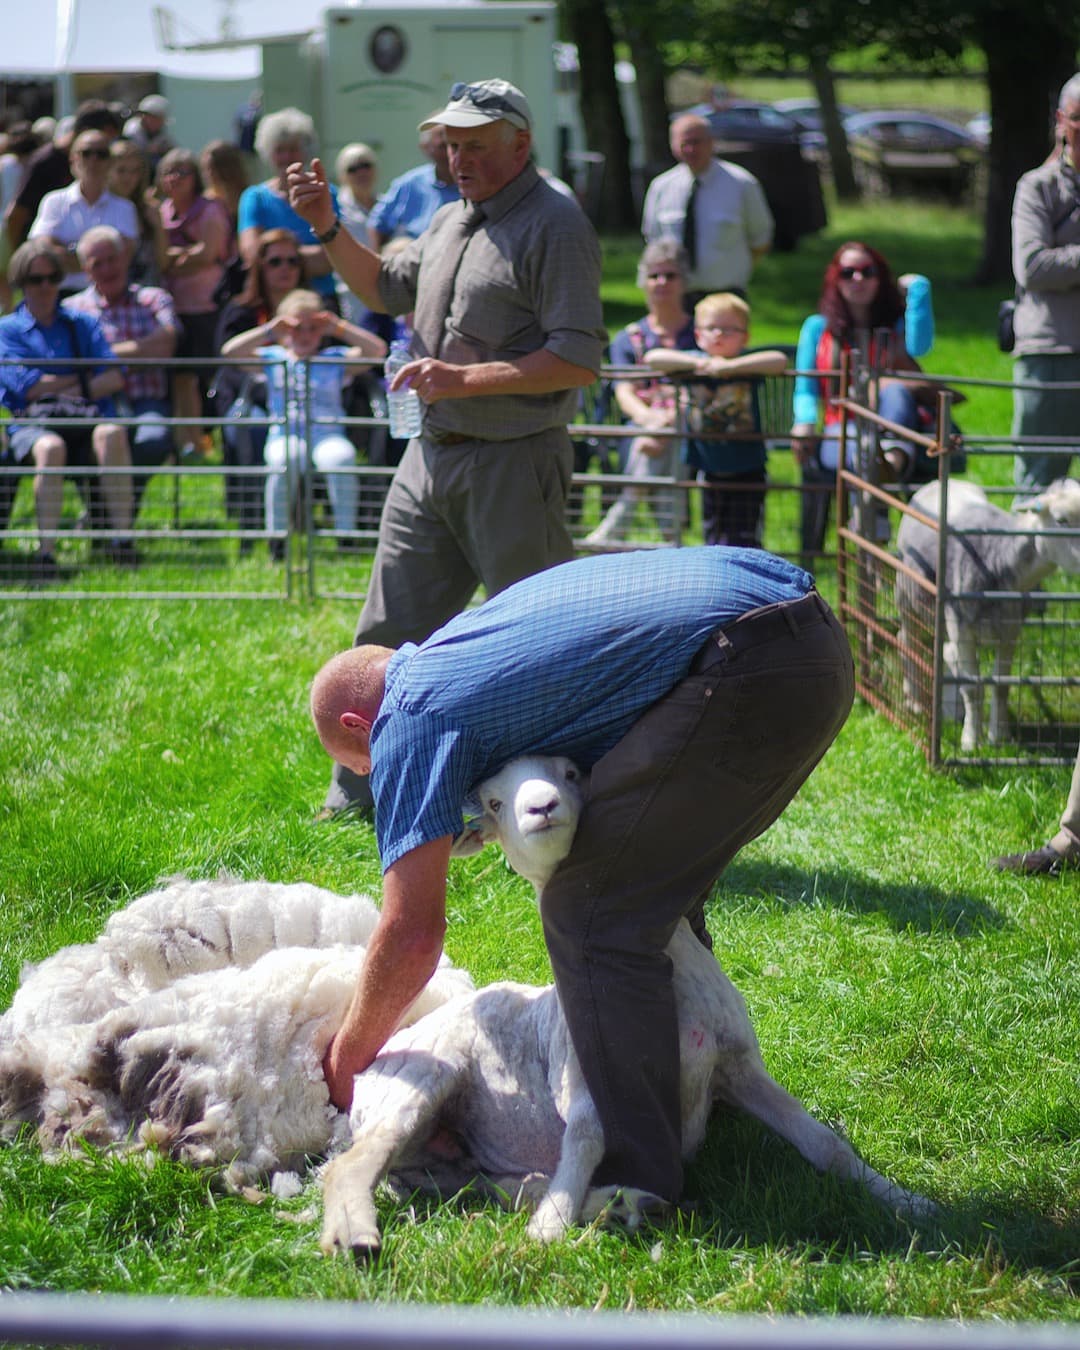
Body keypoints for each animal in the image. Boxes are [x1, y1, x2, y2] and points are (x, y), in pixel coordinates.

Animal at [896, 477, 1080, 756]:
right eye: (1061, 520)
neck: (999, 561)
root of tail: (938, 482)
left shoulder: (1010, 631)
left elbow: (1001, 685)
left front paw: (999, 736)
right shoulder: (962, 629)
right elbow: (972, 688)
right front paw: (971, 742)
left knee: (943, 652)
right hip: (907, 596)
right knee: (906, 641)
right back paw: (914, 700)